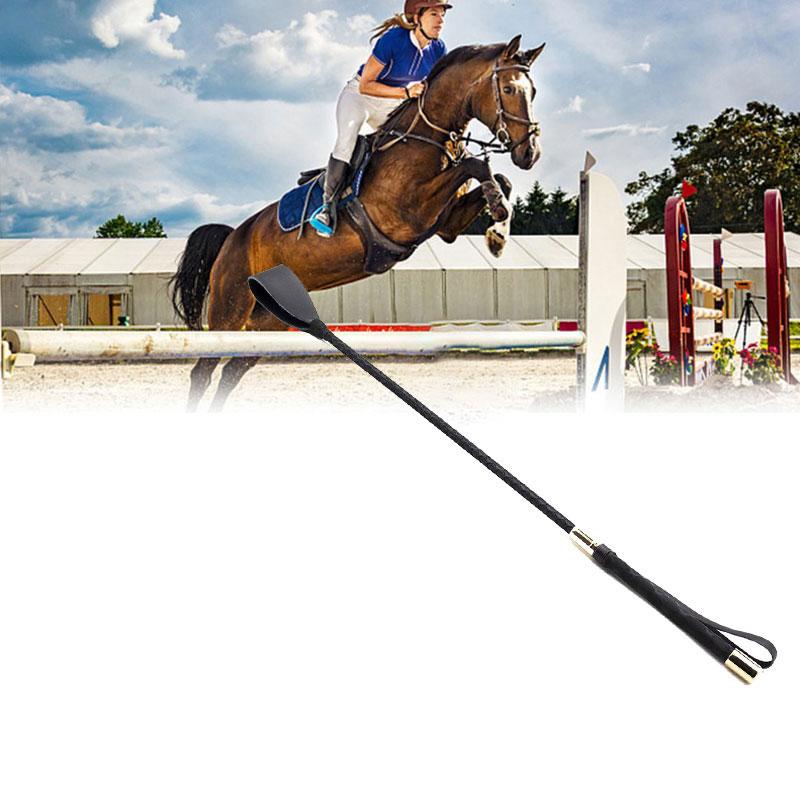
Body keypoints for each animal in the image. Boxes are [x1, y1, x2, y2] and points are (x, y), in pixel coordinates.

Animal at [171, 35, 545, 411]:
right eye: (509, 89)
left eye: (534, 92)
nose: (530, 153)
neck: (426, 139)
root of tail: (233, 237)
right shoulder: (407, 211)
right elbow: (477, 166)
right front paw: (497, 219)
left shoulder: (446, 225)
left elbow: (497, 178)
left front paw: (498, 230)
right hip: (230, 307)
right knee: (203, 371)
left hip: (269, 320)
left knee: (231, 371)